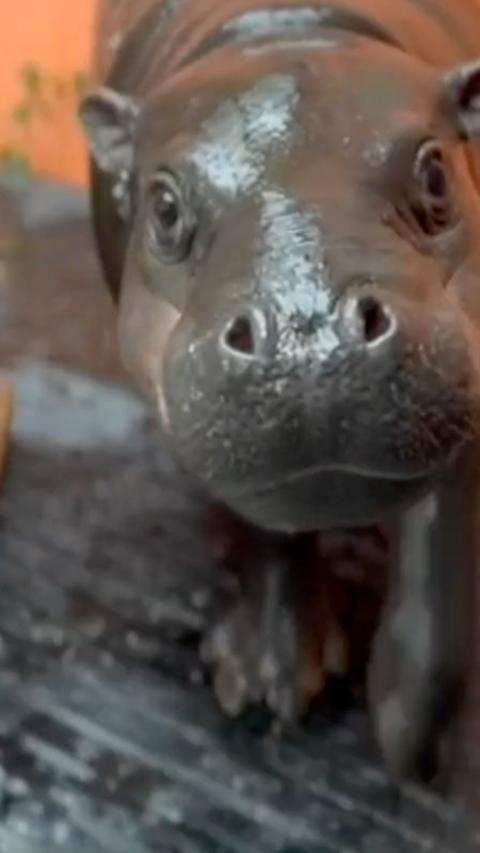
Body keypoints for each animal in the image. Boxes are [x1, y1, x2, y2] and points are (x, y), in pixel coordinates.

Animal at [80, 0, 480, 788]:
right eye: (163, 207)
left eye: (436, 172)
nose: (309, 330)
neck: (290, 27)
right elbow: (267, 525)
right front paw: (268, 679)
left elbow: (442, 536)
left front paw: (420, 741)